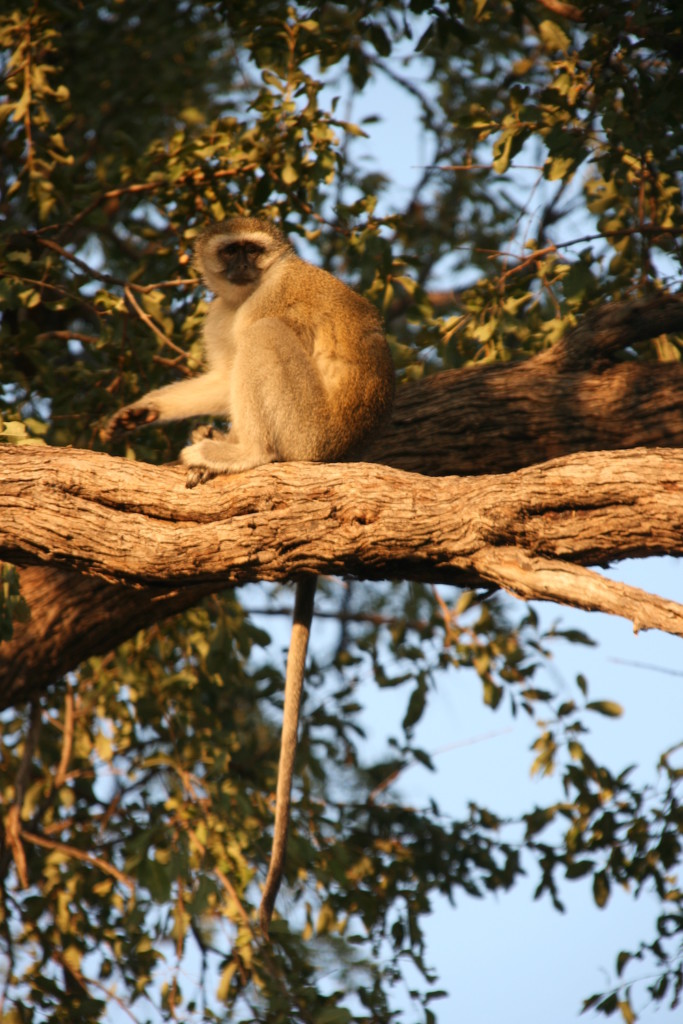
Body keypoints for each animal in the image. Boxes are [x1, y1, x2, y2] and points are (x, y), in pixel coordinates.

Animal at [102, 216, 395, 937]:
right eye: (228, 250)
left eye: (252, 251)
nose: (238, 268)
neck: (242, 294)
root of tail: (342, 453)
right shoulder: (220, 308)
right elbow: (222, 372)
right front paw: (143, 410)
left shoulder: (267, 297)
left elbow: (251, 346)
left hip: (307, 433)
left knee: (264, 349)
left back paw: (245, 455)